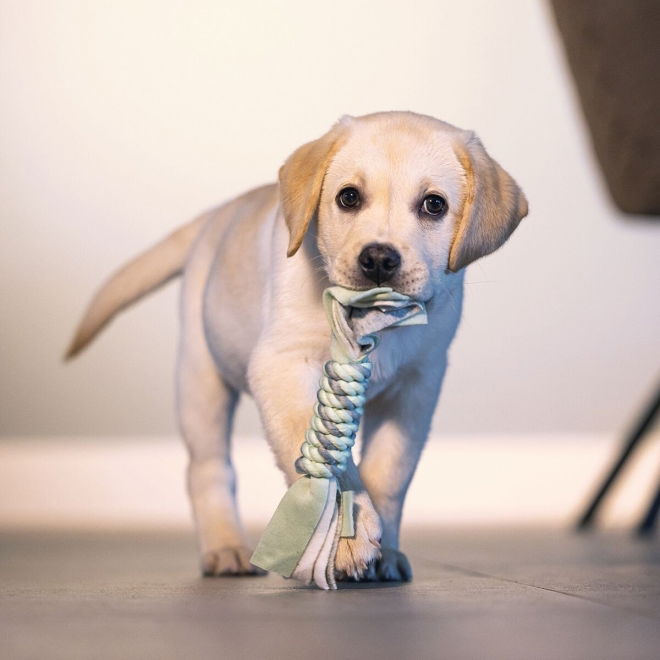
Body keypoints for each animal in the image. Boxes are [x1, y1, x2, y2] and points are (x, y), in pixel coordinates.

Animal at [67, 112, 528, 584]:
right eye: (348, 197)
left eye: (434, 205)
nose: (379, 259)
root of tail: (218, 215)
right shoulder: (283, 365)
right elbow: (325, 454)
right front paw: (348, 537)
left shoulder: (417, 385)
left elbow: (389, 471)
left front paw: (385, 550)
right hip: (200, 377)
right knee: (208, 468)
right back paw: (225, 547)